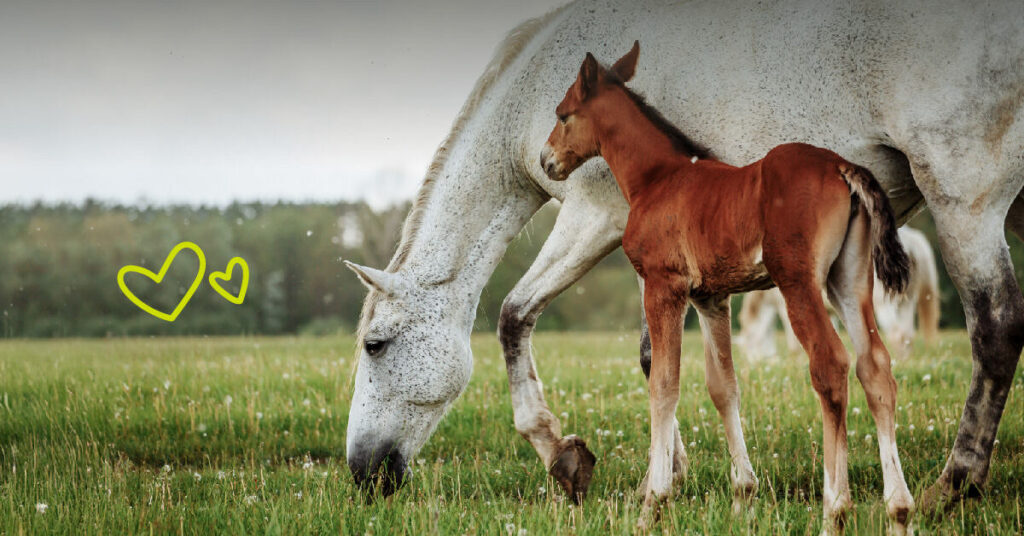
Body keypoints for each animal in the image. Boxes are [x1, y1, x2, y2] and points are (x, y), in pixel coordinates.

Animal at [540, 41, 915, 533]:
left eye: (563, 114)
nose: (547, 160)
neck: (657, 180)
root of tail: (841, 166)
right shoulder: (711, 299)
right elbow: (723, 387)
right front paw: (742, 499)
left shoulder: (664, 286)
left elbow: (664, 384)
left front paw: (653, 503)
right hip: (848, 281)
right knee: (875, 367)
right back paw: (899, 511)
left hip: (798, 282)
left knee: (830, 365)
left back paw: (835, 510)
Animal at [739, 226, 941, 359]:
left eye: (749, 341)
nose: (754, 362)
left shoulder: (784, 307)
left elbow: (794, 343)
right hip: (906, 302)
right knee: (907, 336)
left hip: (885, 305)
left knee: (897, 335)